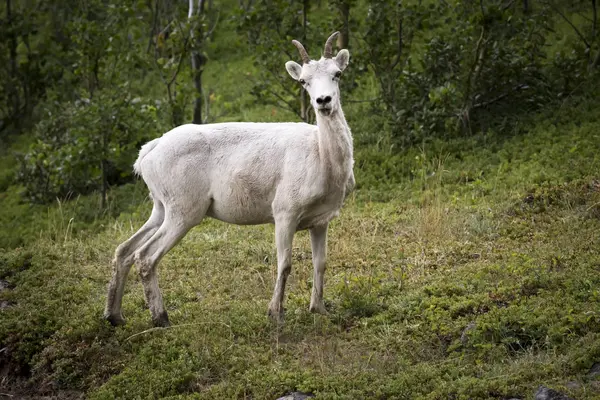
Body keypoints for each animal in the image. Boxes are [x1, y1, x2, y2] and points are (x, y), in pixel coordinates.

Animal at [105, 30, 354, 324]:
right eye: (303, 80)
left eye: (337, 73)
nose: (323, 101)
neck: (322, 161)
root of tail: (147, 154)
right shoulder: (284, 210)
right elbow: (285, 263)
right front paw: (275, 313)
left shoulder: (321, 220)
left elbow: (321, 263)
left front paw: (319, 309)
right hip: (184, 209)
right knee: (145, 256)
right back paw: (161, 319)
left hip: (160, 206)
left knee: (124, 250)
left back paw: (114, 316)